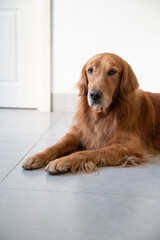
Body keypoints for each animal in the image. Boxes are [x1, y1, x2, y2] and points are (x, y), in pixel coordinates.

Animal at [21, 53, 160, 174]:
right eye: (90, 70)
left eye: (112, 72)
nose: (94, 94)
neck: (101, 115)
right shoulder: (78, 133)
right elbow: (55, 146)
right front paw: (36, 157)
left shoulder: (128, 147)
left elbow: (87, 153)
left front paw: (61, 161)